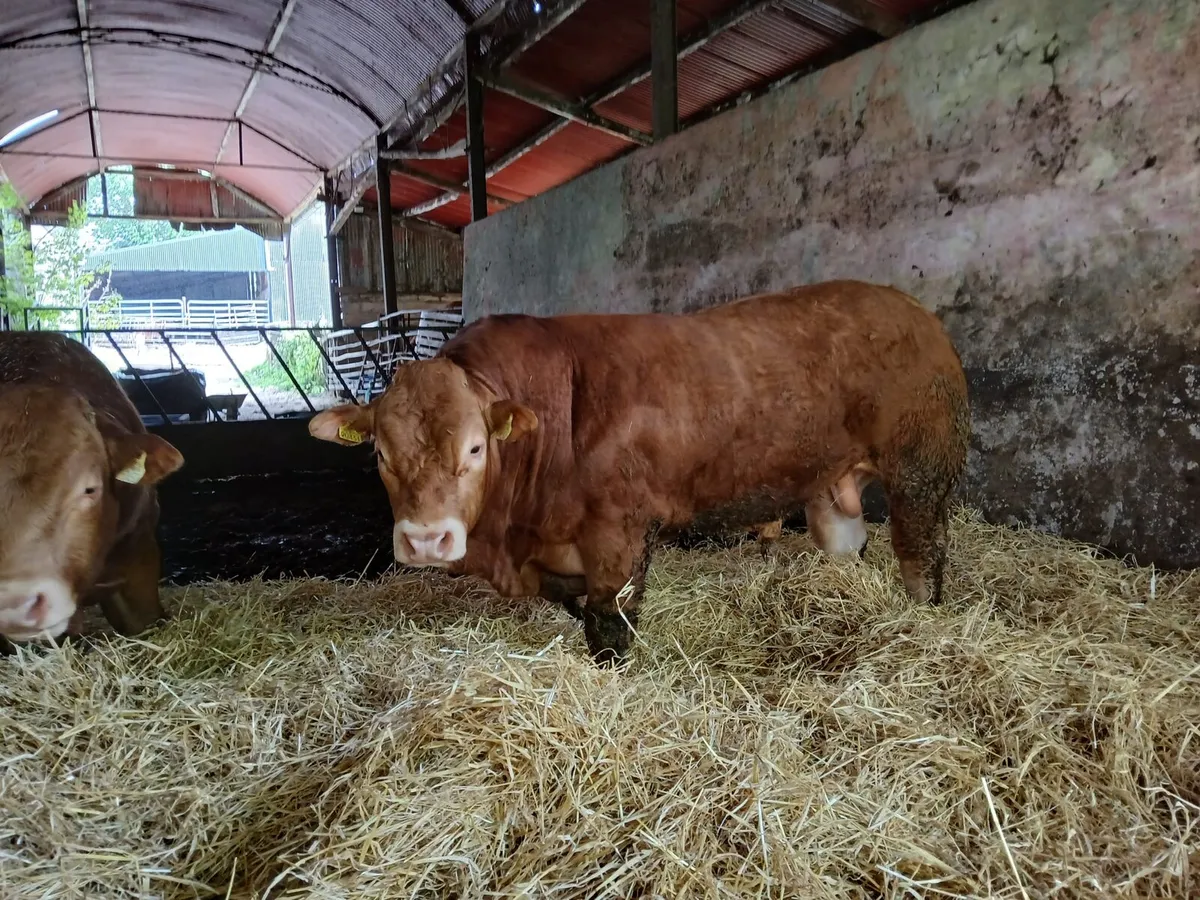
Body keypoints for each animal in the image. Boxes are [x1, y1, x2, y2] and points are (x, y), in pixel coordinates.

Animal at [308, 280, 970, 666]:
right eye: (379, 454)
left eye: (475, 448)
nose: (426, 539)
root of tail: (912, 308)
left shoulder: (618, 534)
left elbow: (610, 626)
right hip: (831, 489)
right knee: (849, 544)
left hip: (922, 467)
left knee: (922, 550)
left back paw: (924, 620)